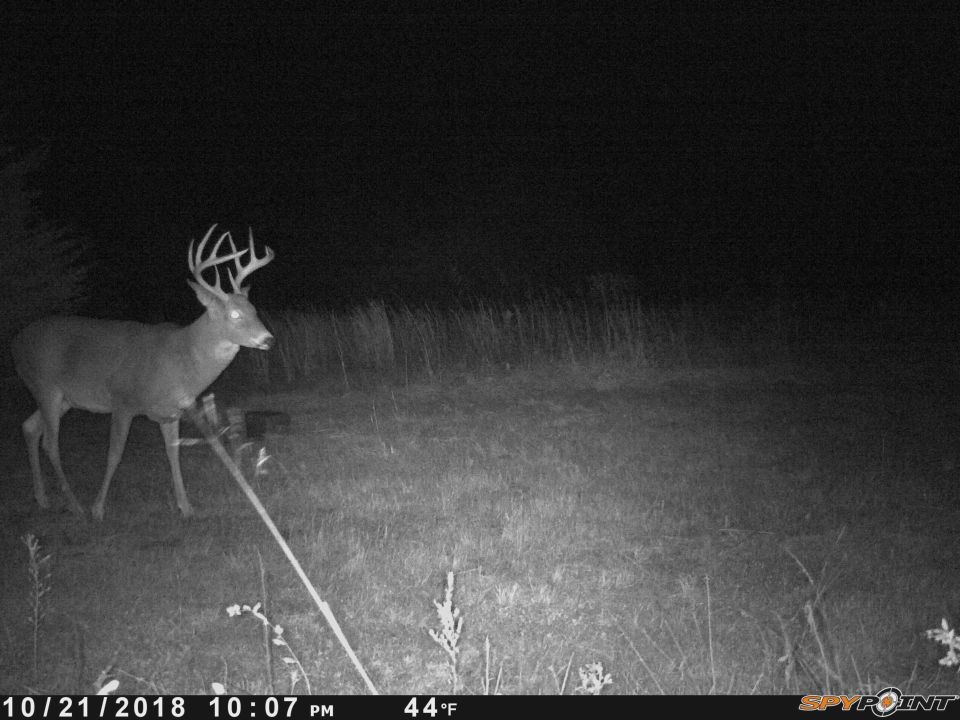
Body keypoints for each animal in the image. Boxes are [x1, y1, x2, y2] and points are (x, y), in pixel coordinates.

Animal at [11, 225, 275, 521]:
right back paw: (75, 504)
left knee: (29, 428)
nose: (268, 340)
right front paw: (98, 508)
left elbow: (173, 453)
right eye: (234, 315)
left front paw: (186, 506)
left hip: (63, 399)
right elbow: (115, 453)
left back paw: (43, 498)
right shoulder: (122, 401)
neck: (179, 360)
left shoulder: (172, 411)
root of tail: (15, 342)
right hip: (45, 386)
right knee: (50, 443)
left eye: (253, 310)